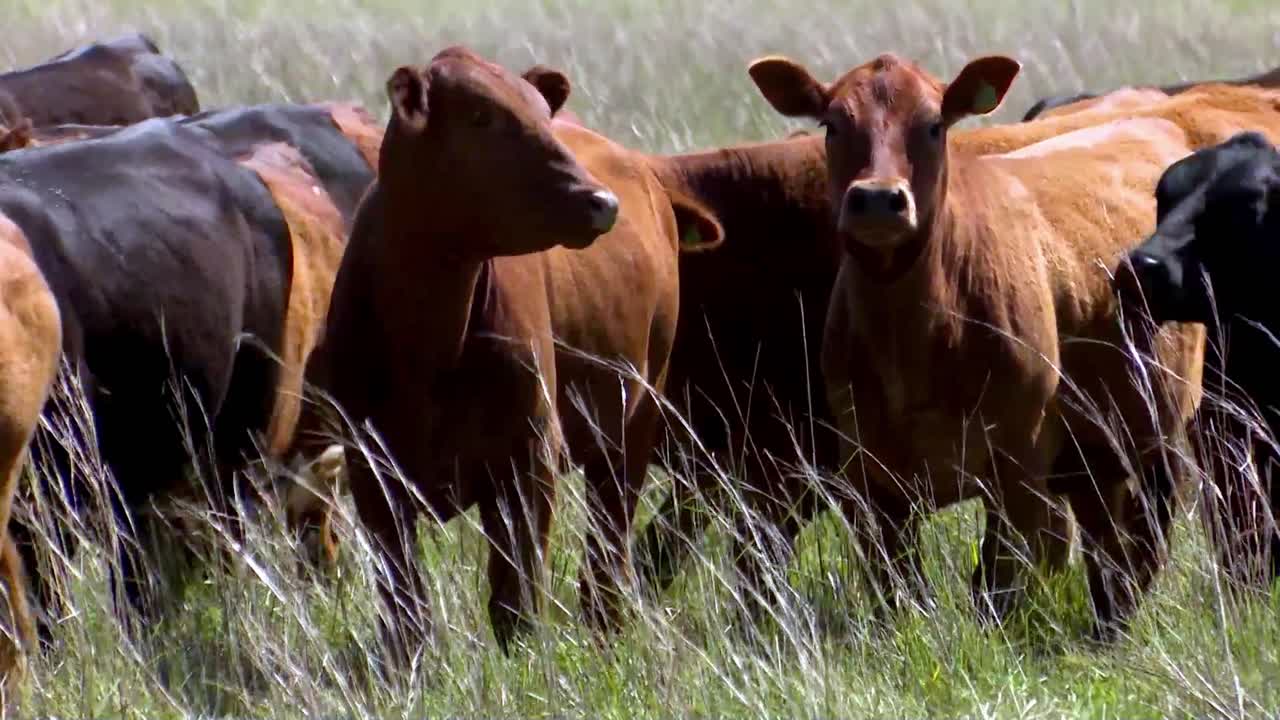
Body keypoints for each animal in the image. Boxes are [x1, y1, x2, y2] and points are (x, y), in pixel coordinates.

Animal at [301, 46, 722, 662]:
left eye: (542, 114)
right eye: (481, 117)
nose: (600, 202)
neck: (429, 343)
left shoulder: (528, 457)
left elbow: (515, 599)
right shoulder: (371, 467)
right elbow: (404, 604)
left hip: (636, 417)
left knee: (608, 547)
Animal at [747, 50, 1208, 637]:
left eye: (933, 125)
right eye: (832, 125)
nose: (877, 200)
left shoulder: (1019, 463)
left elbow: (997, 584)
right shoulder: (868, 478)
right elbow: (898, 591)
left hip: (1158, 436)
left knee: (1140, 547)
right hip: (1094, 454)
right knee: (1105, 544)